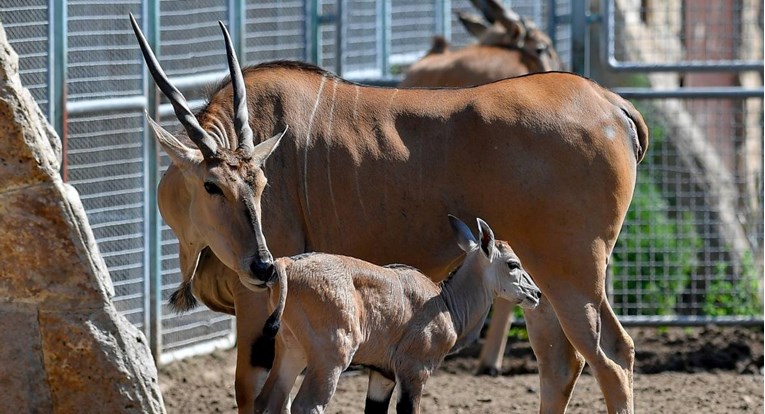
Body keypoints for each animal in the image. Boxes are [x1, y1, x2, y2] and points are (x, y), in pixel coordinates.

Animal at [254, 217, 540, 414]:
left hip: (292, 351)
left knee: (266, 402)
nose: (536, 293)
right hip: (330, 359)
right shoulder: (414, 371)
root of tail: (289, 265)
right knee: (307, 406)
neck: (445, 301)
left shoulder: (383, 376)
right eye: (513, 264)